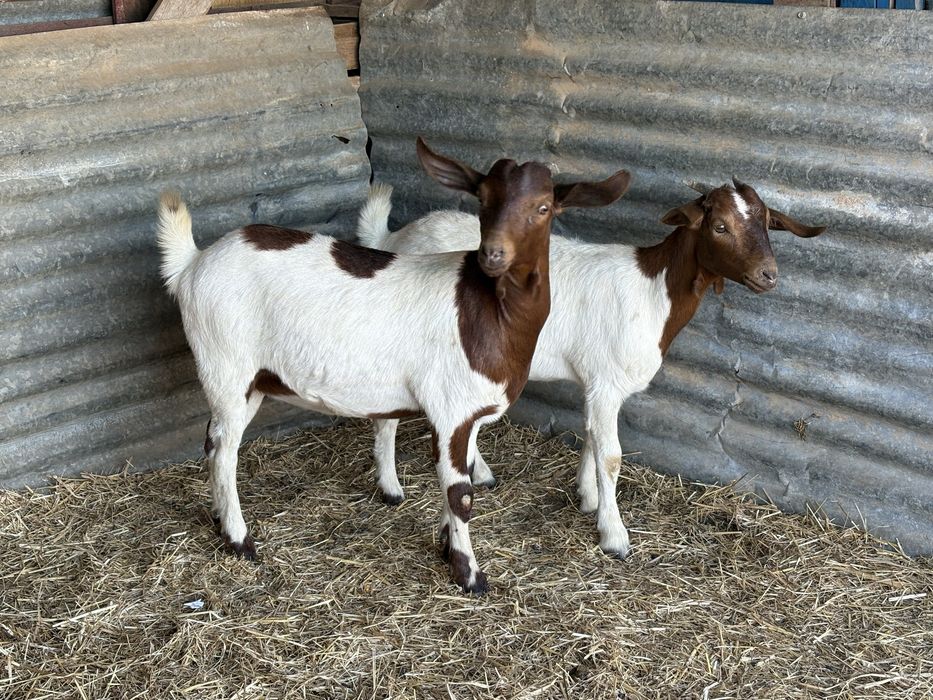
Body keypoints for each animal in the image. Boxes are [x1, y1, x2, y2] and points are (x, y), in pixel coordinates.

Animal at [156, 138, 630, 593]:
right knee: (223, 450)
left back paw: (221, 519)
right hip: (225, 365)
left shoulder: (468, 413)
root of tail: (191, 263)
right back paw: (239, 539)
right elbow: (460, 494)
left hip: (251, 379)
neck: (487, 311)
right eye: (482, 199)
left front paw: (445, 544)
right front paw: (469, 575)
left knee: (215, 443)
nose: (493, 254)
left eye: (544, 206)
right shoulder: (451, 408)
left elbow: (456, 481)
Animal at [357, 178, 826, 558]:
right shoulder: (607, 383)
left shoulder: (596, 382)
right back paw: (391, 488)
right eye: (720, 226)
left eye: (766, 222)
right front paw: (614, 535)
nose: (769, 275)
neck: (653, 290)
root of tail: (396, 237)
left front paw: (587, 496)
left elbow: (591, 436)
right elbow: (612, 455)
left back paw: (480, 472)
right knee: (387, 416)